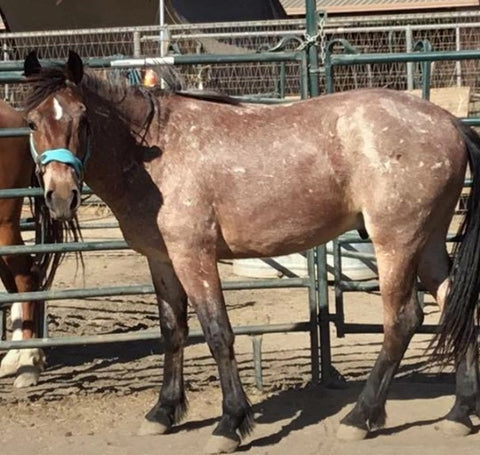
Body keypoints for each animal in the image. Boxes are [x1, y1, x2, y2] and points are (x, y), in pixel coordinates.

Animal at [21, 51, 480, 454]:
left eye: (83, 118)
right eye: (31, 122)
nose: (60, 196)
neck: (153, 152)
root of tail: (450, 123)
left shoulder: (194, 256)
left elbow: (217, 333)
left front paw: (231, 423)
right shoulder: (161, 259)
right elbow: (173, 330)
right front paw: (164, 412)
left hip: (397, 243)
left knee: (402, 320)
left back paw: (360, 417)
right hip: (429, 242)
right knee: (456, 308)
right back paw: (460, 413)